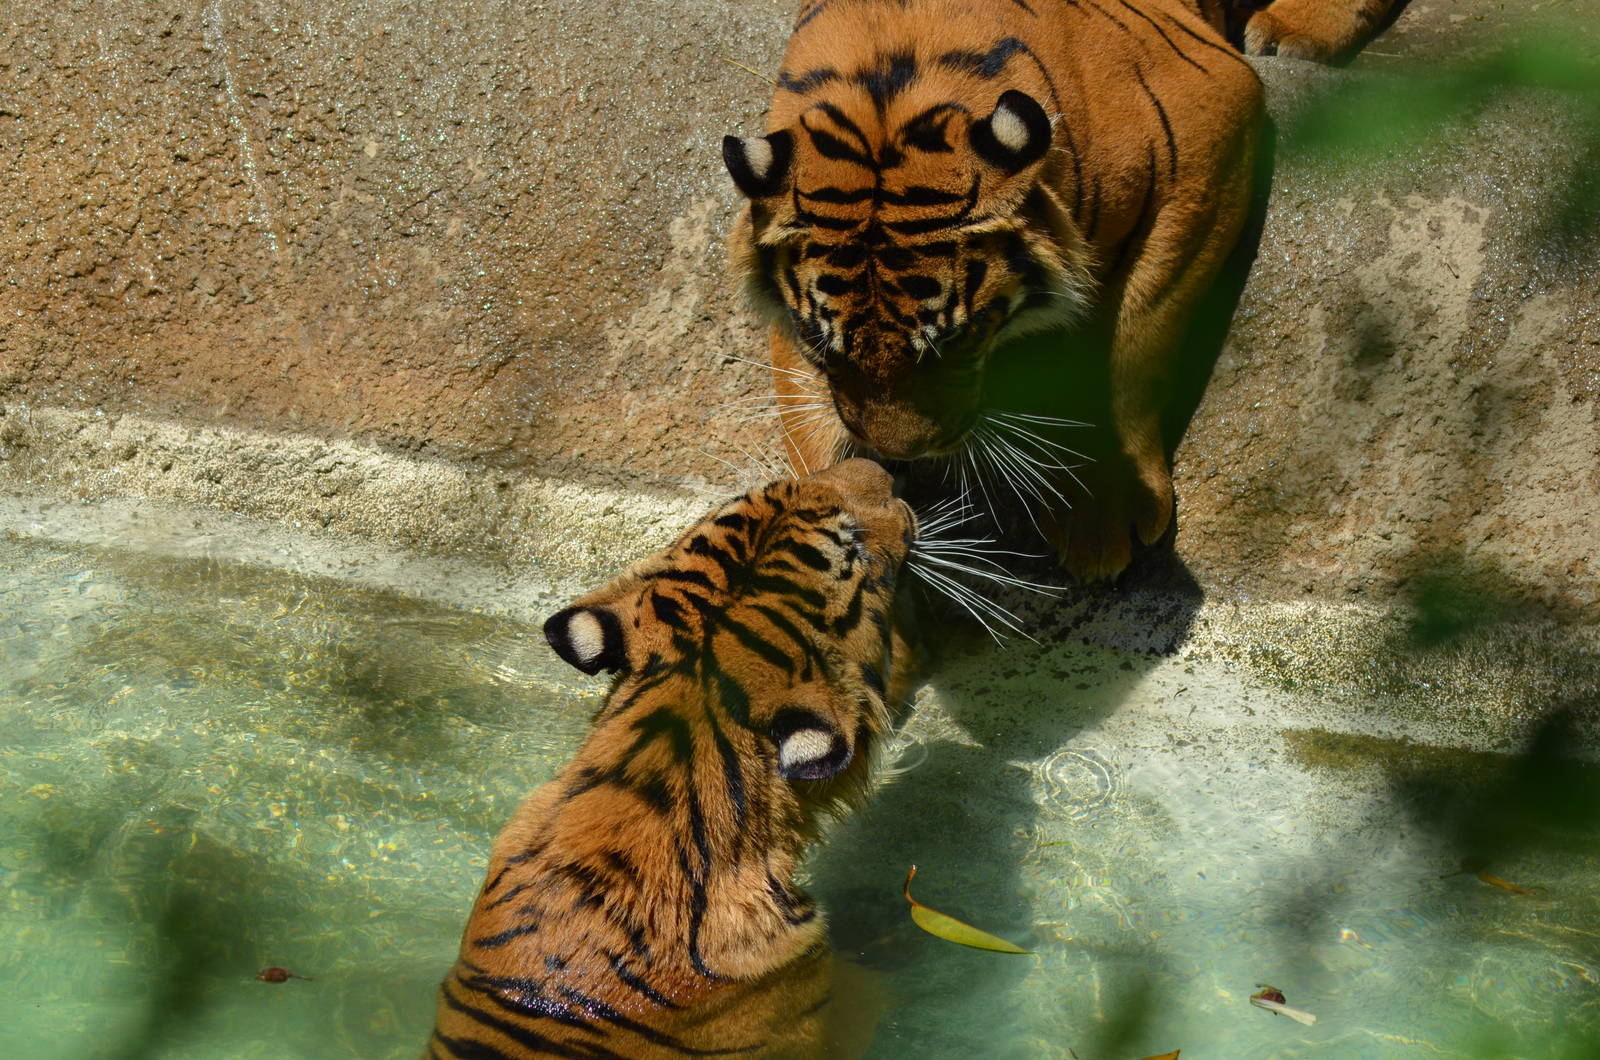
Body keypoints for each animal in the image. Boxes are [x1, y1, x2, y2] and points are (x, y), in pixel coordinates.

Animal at [722, 0, 1403, 581]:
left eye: (961, 339)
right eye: (820, 342)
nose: (906, 455)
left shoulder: (1206, 134)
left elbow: (1126, 340)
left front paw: (1100, 515)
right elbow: (803, 403)